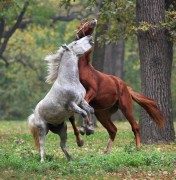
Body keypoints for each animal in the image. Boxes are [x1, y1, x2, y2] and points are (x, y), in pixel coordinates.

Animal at [72, 19, 164, 153]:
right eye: (82, 23)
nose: (94, 20)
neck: (84, 69)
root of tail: (126, 88)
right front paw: (85, 129)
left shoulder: (92, 91)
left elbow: (85, 105)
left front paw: (85, 129)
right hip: (102, 113)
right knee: (113, 130)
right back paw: (105, 151)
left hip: (125, 107)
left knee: (134, 127)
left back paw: (138, 148)